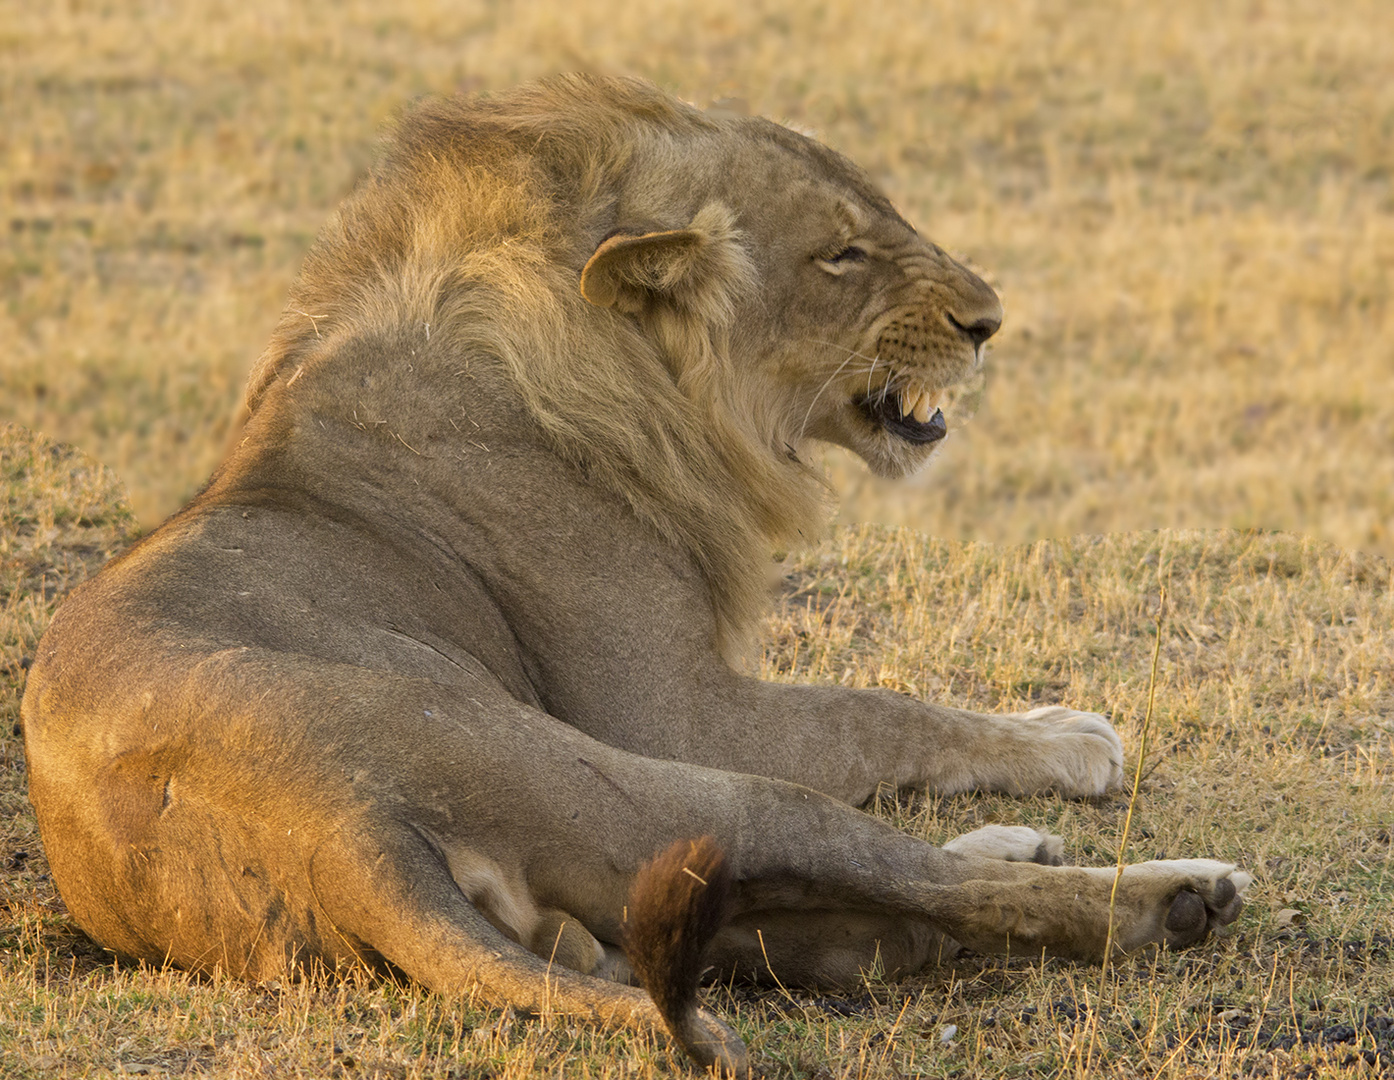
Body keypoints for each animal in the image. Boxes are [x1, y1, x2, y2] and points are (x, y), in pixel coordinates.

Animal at [19, 75, 1254, 1070]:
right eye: (840, 254)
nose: (988, 322)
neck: (633, 374)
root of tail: (341, 828)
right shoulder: (671, 709)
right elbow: (877, 709)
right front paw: (1068, 738)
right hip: (665, 786)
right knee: (913, 886)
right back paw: (1178, 895)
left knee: (870, 925)